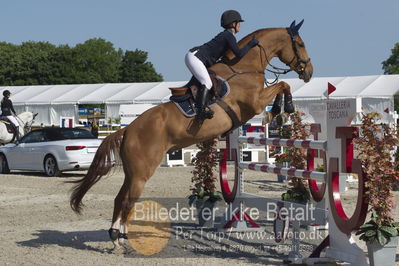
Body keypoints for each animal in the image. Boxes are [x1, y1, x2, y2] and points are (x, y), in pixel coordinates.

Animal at [70, 20, 314, 249]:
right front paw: (282, 110)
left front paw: (279, 113)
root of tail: (128, 128)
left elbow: (282, 86)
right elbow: (282, 85)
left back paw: (116, 238)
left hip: (132, 173)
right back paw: (122, 239)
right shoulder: (254, 102)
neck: (244, 66)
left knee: (119, 198)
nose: (309, 72)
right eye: (300, 44)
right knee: (128, 201)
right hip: (141, 173)